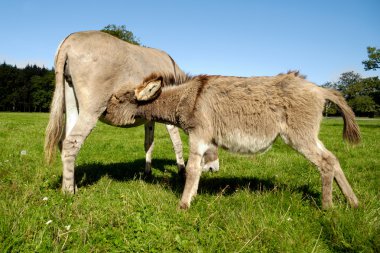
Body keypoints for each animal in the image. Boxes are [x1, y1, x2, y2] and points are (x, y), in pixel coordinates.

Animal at [104, 71, 362, 210]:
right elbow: (200, 168)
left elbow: (192, 169)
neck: (187, 97)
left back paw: (327, 207)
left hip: (299, 136)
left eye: (118, 99)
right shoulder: (205, 139)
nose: (102, 113)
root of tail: (320, 89)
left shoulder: (198, 135)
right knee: (333, 158)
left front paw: (183, 205)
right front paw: (193, 197)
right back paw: (353, 202)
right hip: (308, 135)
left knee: (325, 163)